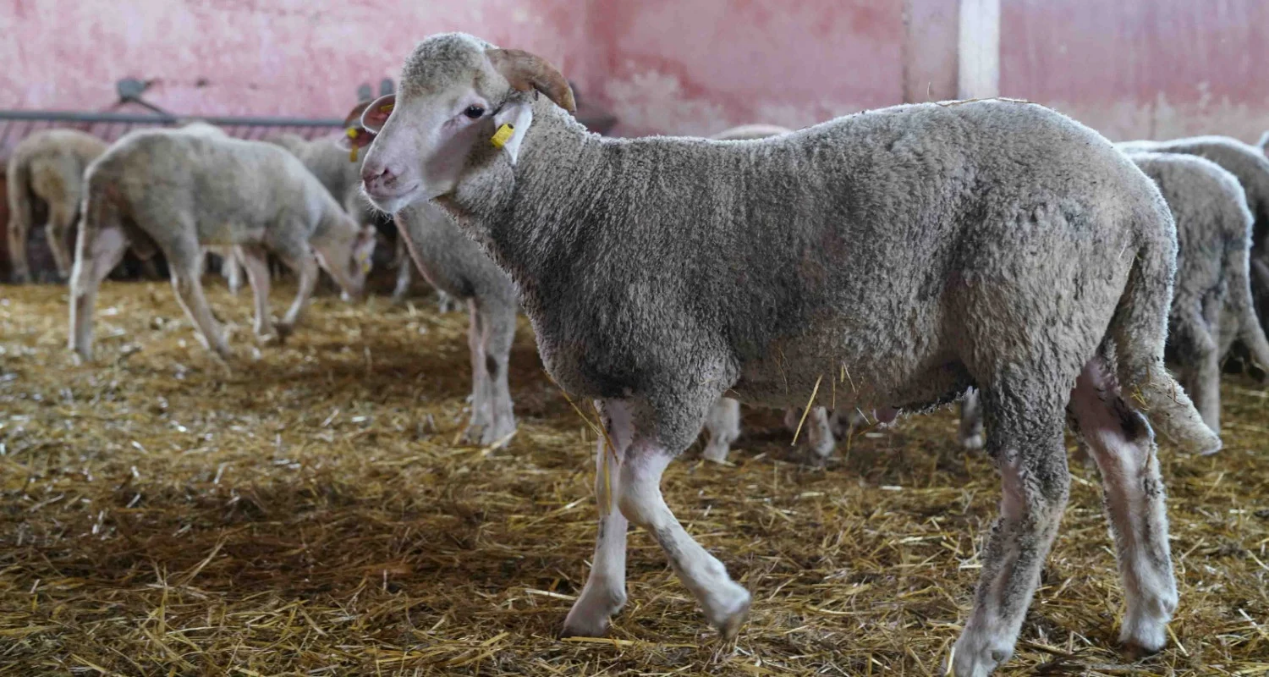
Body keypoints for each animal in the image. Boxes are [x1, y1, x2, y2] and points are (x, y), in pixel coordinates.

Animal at [6, 129, 108, 283]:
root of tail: (27, 153)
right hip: (63, 183)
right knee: (56, 229)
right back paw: (67, 271)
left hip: (18, 186)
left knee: (18, 227)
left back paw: (23, 274)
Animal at [68, 126, 376, 361]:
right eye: (360, 262)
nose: (358, 293)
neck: (320, 217)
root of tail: (104, 168)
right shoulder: (287, 235)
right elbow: (311, 271)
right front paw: (286, 324)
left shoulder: (251, 242)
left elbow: (261, 281)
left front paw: (264, 327)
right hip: (173, 222)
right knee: (186, 286)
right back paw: (218, 342)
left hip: (106, 222)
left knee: (84, 280)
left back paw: (81, 347)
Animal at [342, 108, 518, 445]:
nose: (377, 175)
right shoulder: (477, 294)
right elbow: (476, 353)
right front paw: (478, 424)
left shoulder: (497, 292)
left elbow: (493, 358)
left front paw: (501, 431)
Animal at [959, 151, 1269, 443]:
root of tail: (1236, 213)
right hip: (1212, 283)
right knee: (1217, 335)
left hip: (1185, 280)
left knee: (1203, 348)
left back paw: (1209, 419)